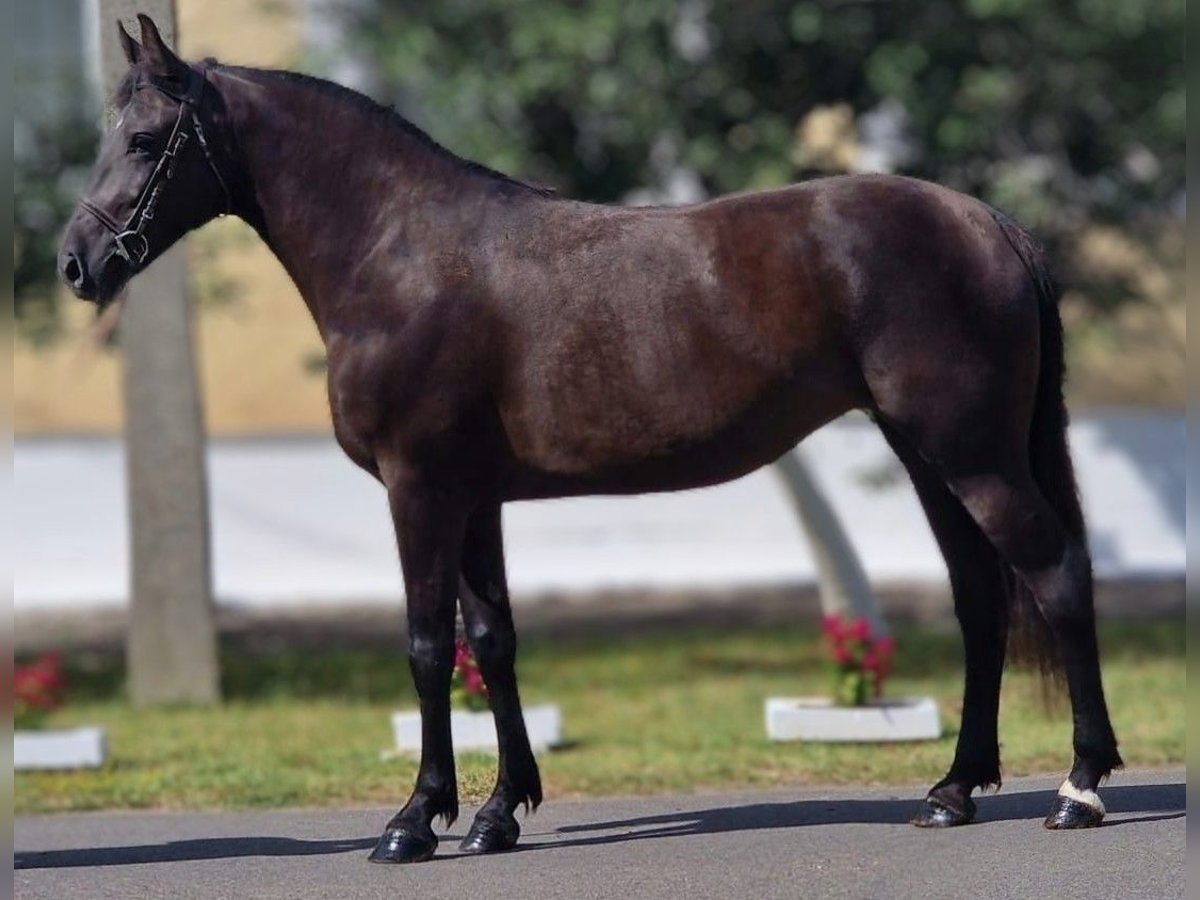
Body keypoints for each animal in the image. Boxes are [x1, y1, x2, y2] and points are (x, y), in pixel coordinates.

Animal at [59, 15, 1122, 863]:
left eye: (145, 139)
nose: (78, 262)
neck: (400, 254)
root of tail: (984, 219)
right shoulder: (474, 496)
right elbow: (491, 641)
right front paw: (498, 814)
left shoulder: (419, 489)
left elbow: (424, 645)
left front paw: (413, 821)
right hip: (929, 455)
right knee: (981, 602)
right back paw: (952, 792)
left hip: (973, 455)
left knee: (1058, 576)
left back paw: (1080, 789)